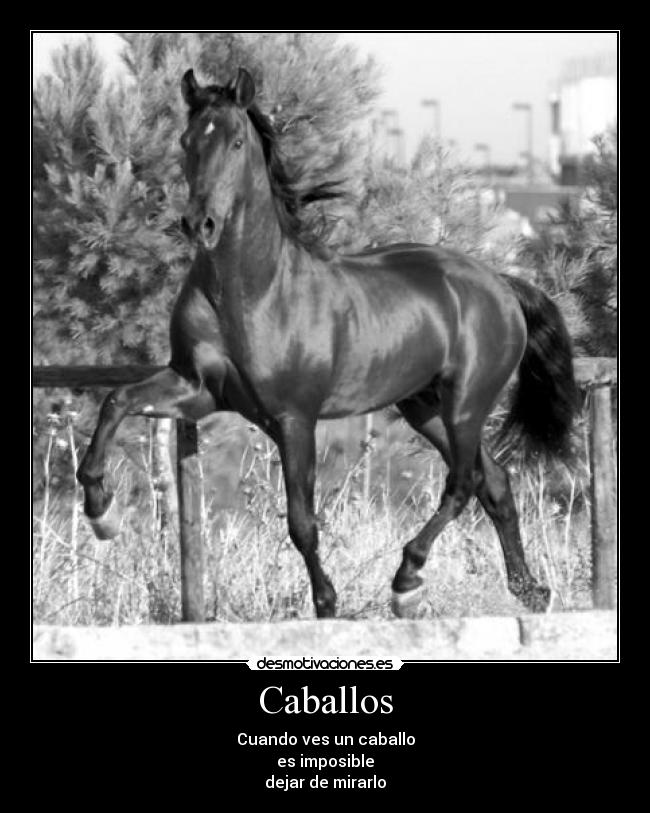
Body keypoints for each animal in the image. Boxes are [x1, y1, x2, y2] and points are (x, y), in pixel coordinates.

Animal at [77, 67, 577, 620]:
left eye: (235, 142)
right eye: (186, 141)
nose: (199, 224)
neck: (249, 293)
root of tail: (501, 282)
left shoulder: (294, 419)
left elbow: (302, 522)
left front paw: (326, 603)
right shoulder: (197, 389)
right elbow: (116, 400)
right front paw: (101, 512)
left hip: (466, 402)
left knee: (463, 482)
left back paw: (408, 578)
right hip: (422, 405)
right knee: (495, 482)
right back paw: (530, 590)